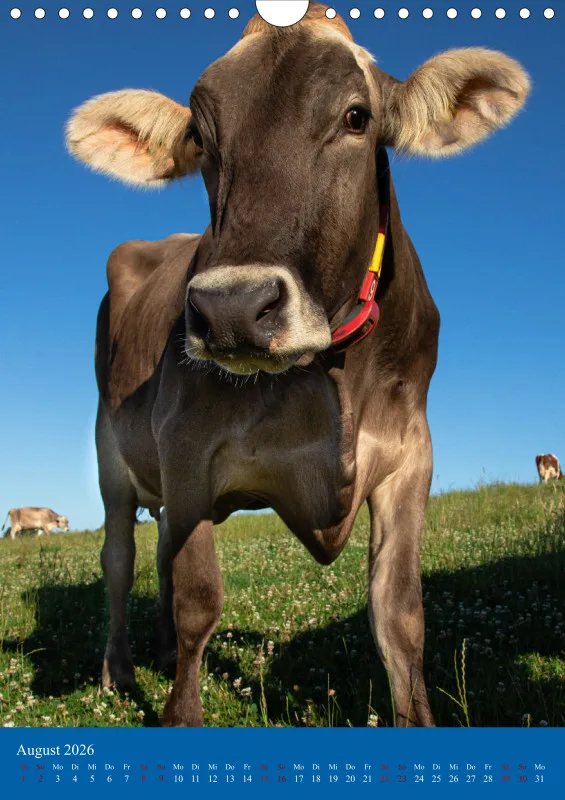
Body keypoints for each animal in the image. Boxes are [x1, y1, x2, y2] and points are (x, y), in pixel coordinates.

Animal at [65, 3, 529, 726]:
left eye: (357, 117)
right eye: (200, 136)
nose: (230, 308)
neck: (330, 378)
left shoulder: (410, 456)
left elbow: (400, 617)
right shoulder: (186, 445)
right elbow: (199, 601)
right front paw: (179, 714)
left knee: (160, 551)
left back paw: (161, 653)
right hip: (111, 455)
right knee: (120, 558)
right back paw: (119, 670)